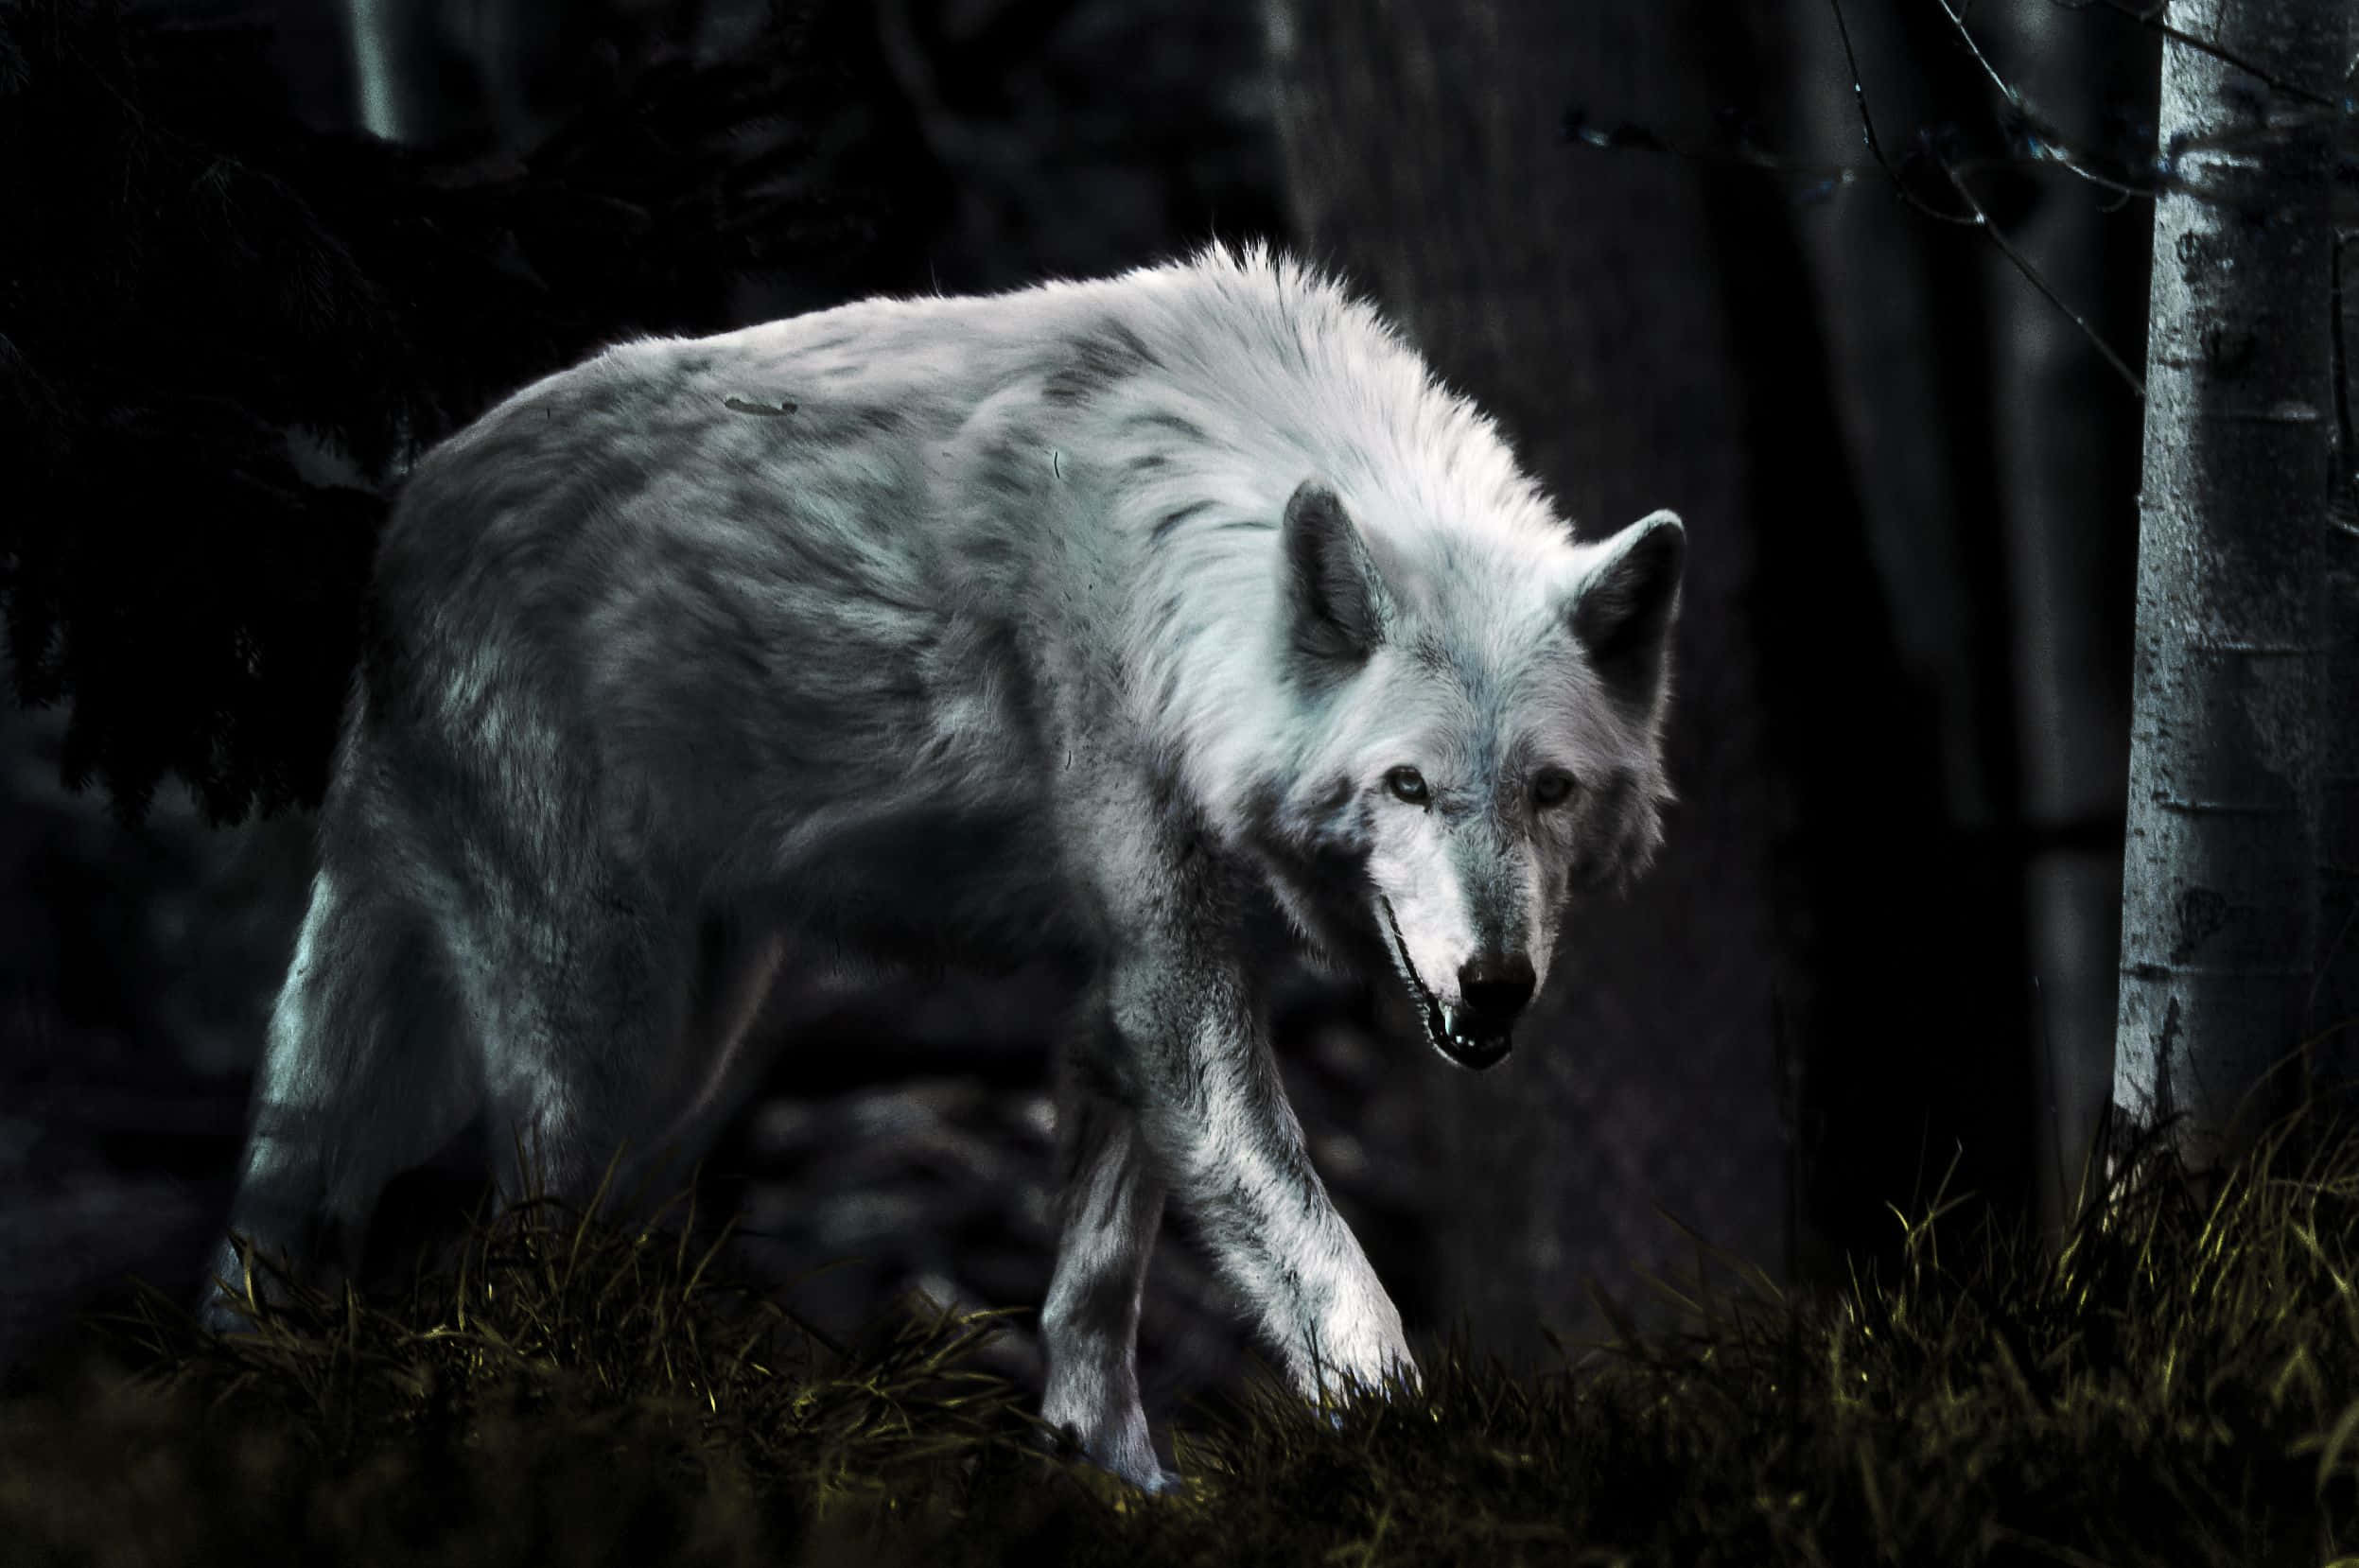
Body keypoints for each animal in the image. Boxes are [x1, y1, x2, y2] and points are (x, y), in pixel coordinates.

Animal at [199, 245, 1684, 1492]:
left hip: (695, 1046)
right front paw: (1419, 1460)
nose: (1494, 987)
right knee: (514, 1251)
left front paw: (1110, 1478)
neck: (1182, 552)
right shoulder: (1174, 995)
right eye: (1405, 785)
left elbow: (1092, 1292)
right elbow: (1335, 1274)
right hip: (595, 1036)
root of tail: (398, 532)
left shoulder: (1123, 1002)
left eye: (1548, 790)